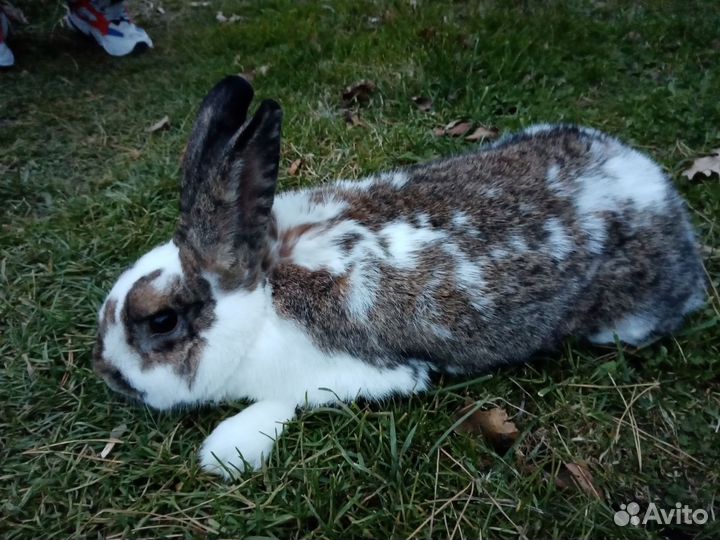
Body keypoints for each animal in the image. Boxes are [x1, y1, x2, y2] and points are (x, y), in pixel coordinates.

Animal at [93, 76, 706, 479]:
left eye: (161, 321)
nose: (106, 373)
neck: (263, 292)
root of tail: (655, 186)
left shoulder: (350, 374)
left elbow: (285, 401)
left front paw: (225, 451)